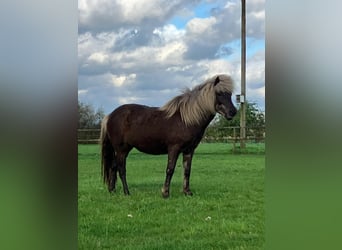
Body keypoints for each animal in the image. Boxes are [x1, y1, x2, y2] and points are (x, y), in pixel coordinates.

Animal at [100, 74, 236, 197]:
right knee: (121, 169)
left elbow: (187, 170)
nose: (233, 112)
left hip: (124, 149)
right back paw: (127, 192)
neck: (185, 119)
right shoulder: (173, 149)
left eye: (230, 94)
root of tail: (110, 116)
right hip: (121, 150)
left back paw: (112, 190)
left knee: (113, 167)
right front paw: (165, 193)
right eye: (219, 93)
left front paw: (187, 192)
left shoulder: (189, 150)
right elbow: (170, 170)